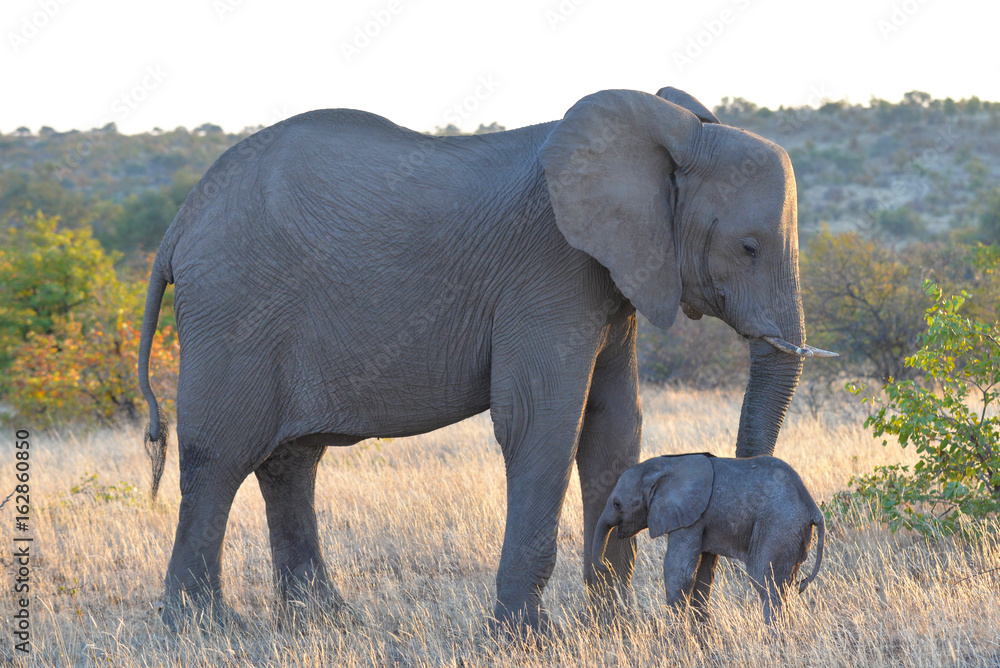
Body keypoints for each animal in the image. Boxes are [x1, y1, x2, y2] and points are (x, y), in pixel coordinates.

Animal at [592, 454, 825, 626]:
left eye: (617, 504)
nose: (606, 567)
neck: (663, 466)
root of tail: (812, 507)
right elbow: (703, 572)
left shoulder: (689, 516)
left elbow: (678, 572)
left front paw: (674, 640)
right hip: (793, 533)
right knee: (785, 585)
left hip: (778, 526)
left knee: (766, 583)